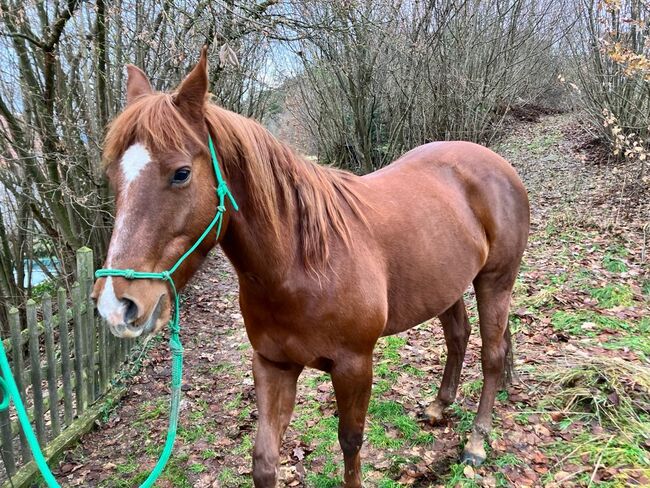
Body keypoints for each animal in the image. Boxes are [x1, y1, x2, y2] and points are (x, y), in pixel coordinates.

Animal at [91, 49, 528, 488]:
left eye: (181, 173)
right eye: (112, 177)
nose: (116, 306)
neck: (301, 267)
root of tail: (495, 162)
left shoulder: (354, 367)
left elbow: (350, 442)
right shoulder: (273, 365)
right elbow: (264, 460)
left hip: (494, 282)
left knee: (491, 355)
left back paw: (476, 443)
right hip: (446, 285)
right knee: (459, 336)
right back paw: (439, 406)